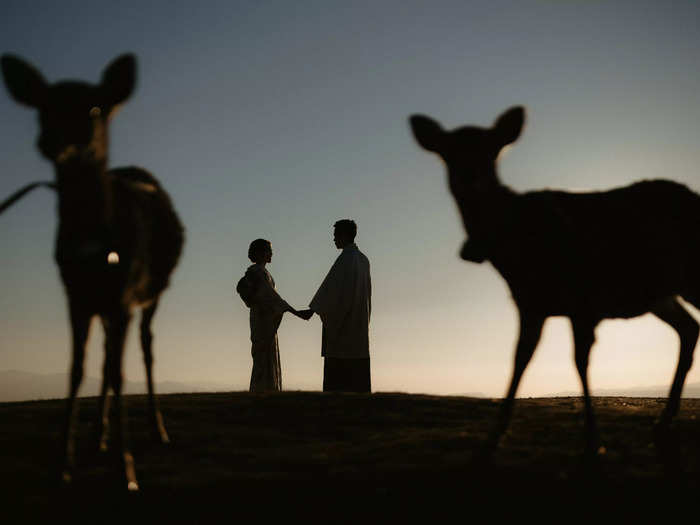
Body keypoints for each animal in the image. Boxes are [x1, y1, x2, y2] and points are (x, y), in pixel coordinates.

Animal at [2, 51, 183, 490]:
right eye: (43, 107)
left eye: (95, 108)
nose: (53, 142)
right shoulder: (75, 295)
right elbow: (76, 369)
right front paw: (63, 465)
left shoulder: (123, 296)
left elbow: (119, 373)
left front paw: (126, 469)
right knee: (105, 358)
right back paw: (98, 437)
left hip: (151, 294)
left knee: (146, 349)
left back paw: (157, 431)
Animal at [410, 106, 700, 458]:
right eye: (447, 154)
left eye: (492, 152)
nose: (469, 178)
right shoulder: (530, 303)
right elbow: (519, 360)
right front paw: (491, 440)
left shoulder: (582, 300)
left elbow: (579, 361)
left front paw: (592, 439)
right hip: (660, 293)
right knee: (689, 328)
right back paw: (662, 423)